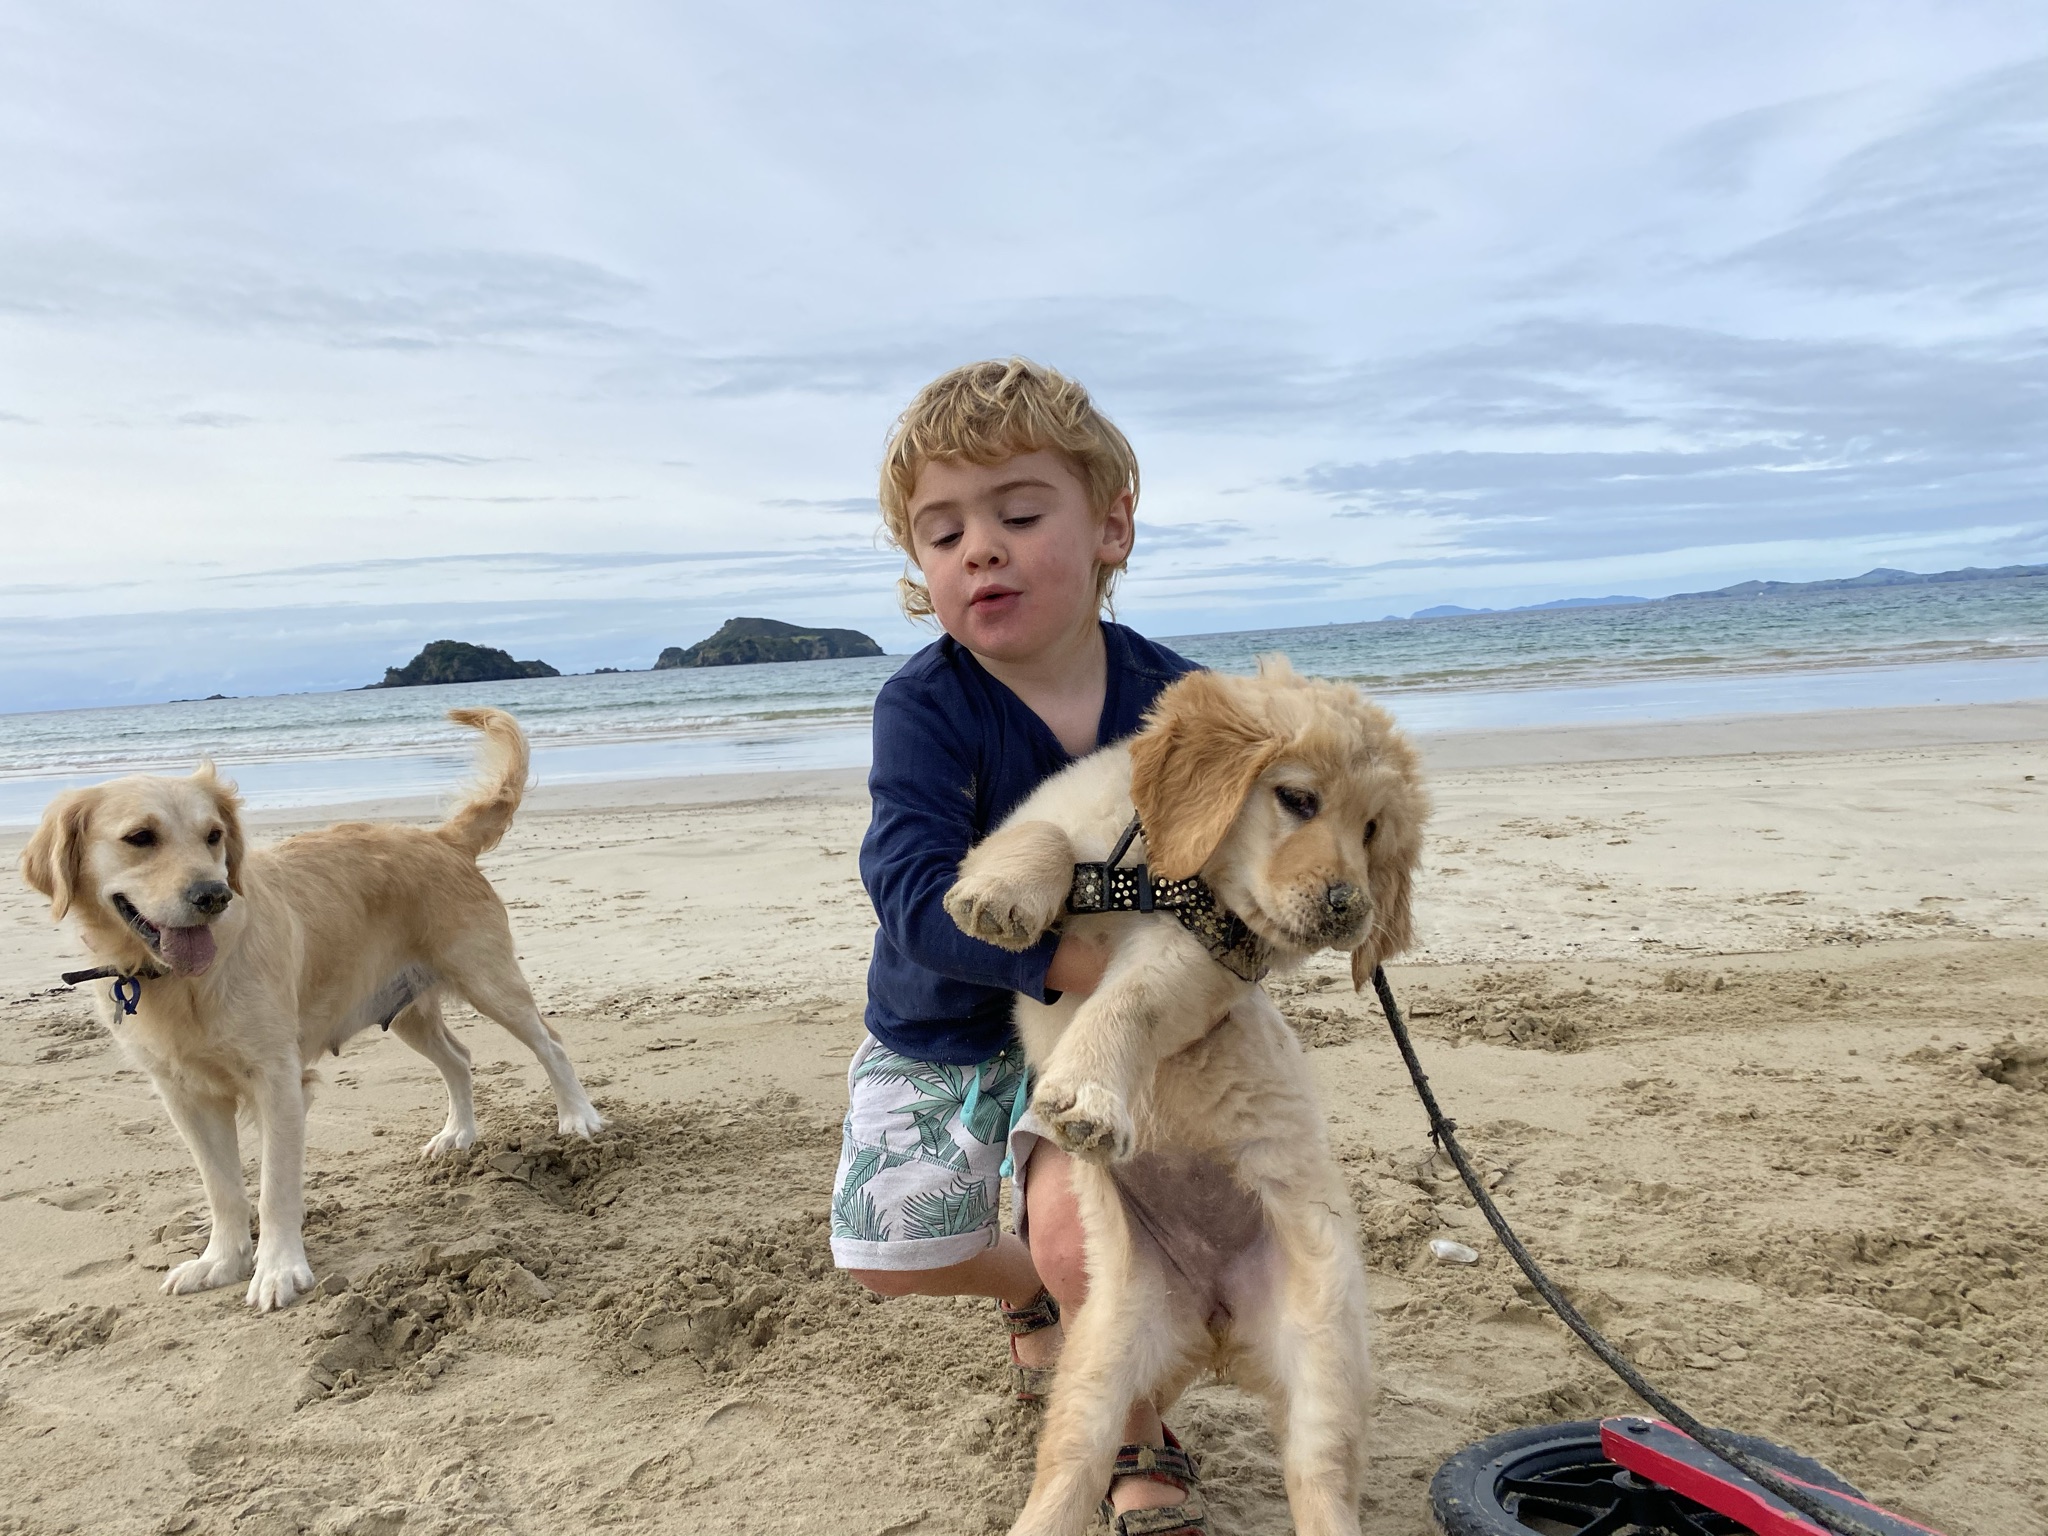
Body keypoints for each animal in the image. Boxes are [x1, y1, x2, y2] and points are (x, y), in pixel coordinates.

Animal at [19, 708, 602, 1310]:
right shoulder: (185, 1095)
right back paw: (457, 1135)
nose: (214, 895)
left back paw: (577, 1118)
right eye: (140, 838)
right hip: (408, 1013)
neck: (178, 983)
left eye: (213, 836)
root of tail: (440, 838)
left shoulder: (277, 1081)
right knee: (459, 1058)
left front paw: (278, 1270)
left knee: (551, 1044)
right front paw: (219, 1262)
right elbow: (222, 1188)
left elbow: (275, 1187)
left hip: (489, 981)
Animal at [942, 663, 1425, 1536]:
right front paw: (997, 896)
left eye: (1373, 829)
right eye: (1297, 799)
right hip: (1103, 1353)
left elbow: (1130, 999)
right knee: (1072, 1466)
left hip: (1328, 1352)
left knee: (1320, 1478)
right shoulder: (1047, 815)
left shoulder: (1203, 953)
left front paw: (1090, 1095)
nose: (1348, 906)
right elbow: (1040, 839)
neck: (1156, 873)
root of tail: (1216, 1323)